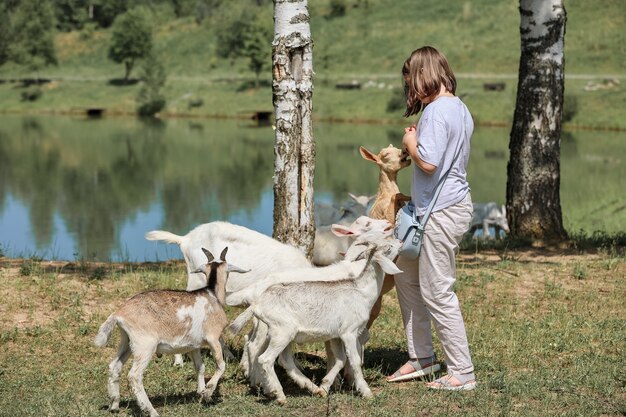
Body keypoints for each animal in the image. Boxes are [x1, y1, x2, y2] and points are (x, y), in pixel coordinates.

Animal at [94, 247, 247, 416]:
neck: (212, 294)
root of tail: (119, 313)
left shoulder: (194, 346)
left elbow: (200, 367)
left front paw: (201, 395)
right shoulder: (213, 337)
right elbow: (221, 365)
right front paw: (208, 393)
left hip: (126, 341)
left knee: (114, 366)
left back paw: (114, 405)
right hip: (145, 345)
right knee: (134, 376)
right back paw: (151, 410)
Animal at [228, 231, 400, 404]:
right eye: (388, 246)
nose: (400, 241)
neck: (361, 291)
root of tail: (258, 302)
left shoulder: (336, 336)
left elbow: (340, 360)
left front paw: (325, 386)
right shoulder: (349, 332)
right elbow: (355, 361)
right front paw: (366, 392)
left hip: (283, 335)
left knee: (284, 360)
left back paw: (309, 387)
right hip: (281, 331)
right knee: (264, 358)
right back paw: (278, 394)